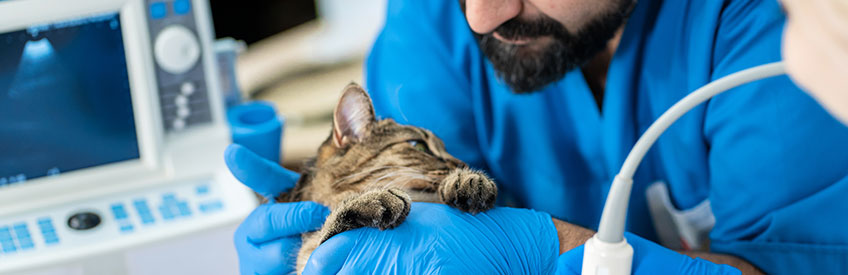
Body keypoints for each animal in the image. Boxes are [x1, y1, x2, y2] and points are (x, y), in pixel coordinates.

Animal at [274, 83, 496, 272]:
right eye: (419, 146)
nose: (463, 164)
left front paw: (469, 180)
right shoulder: (312, 259)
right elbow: (327, 232)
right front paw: (369, 200)